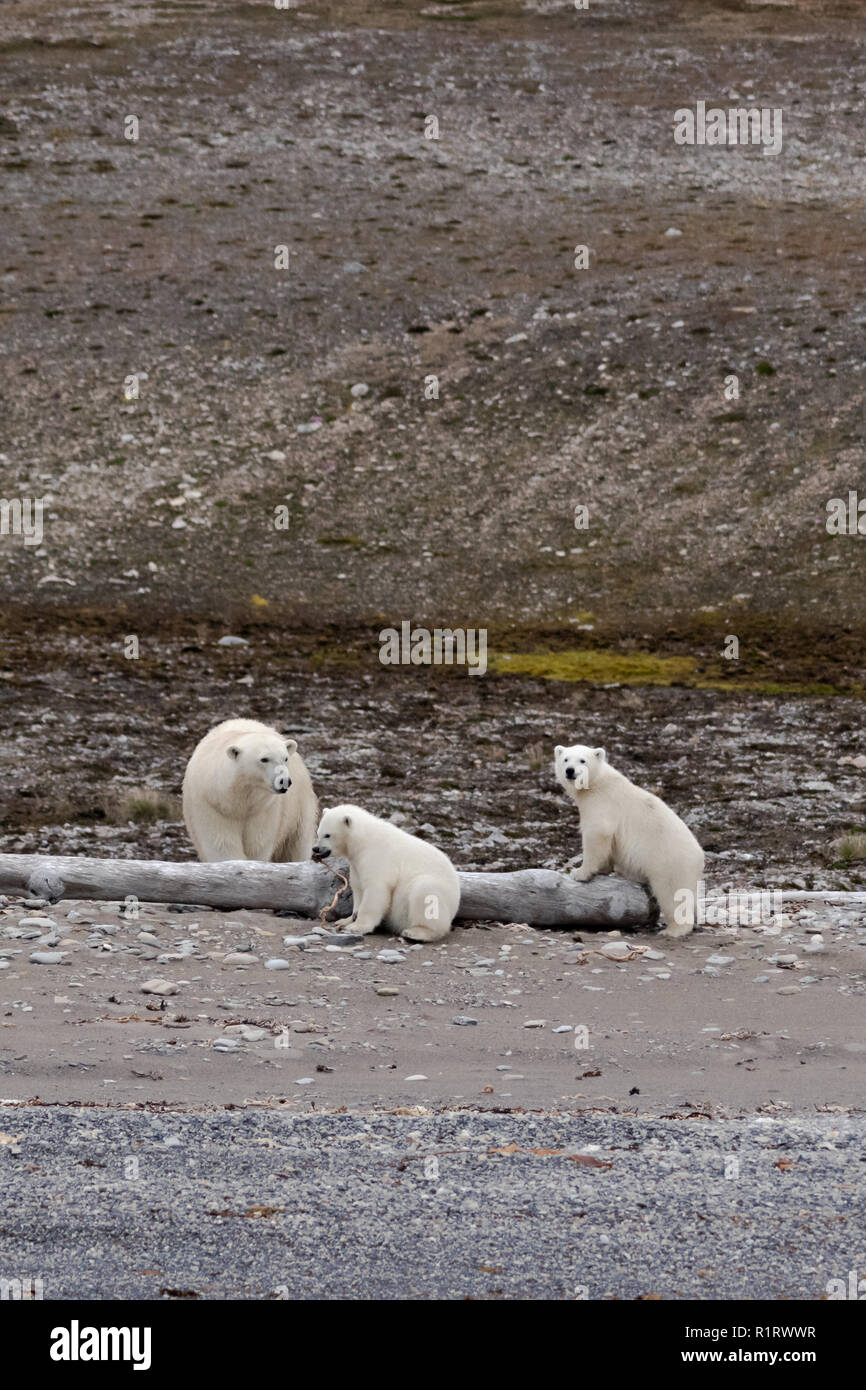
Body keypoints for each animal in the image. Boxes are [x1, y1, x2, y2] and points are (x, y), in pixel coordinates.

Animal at [183, 722, 318, 861]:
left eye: (285, 758)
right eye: (264, 759)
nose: (284, 781)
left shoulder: (264, 809)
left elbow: (257, 845)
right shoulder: (212, 806)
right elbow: (222, 845)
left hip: (299, 807)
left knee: (296, 844)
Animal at [311, 806, 461, 945]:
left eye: (327, 835)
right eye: (318, 833)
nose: (315, 848)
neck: (364, 840)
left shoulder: (379, 857)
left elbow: (375, 889)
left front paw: (357, 927)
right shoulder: (357, 863)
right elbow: (358, 888)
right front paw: (344, 920)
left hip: (436, 891)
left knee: (426, 893)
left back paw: (416, 933)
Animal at [556, 745, 706, 939]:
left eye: (582, 760)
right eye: (566, 759)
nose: (570, 771)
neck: (597, 784)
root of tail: (700, 857)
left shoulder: (601, 803)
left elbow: (597, 833)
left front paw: (579, 872)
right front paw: (603, 869)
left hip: (670, 863)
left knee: (673, 893)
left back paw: (673, 930)